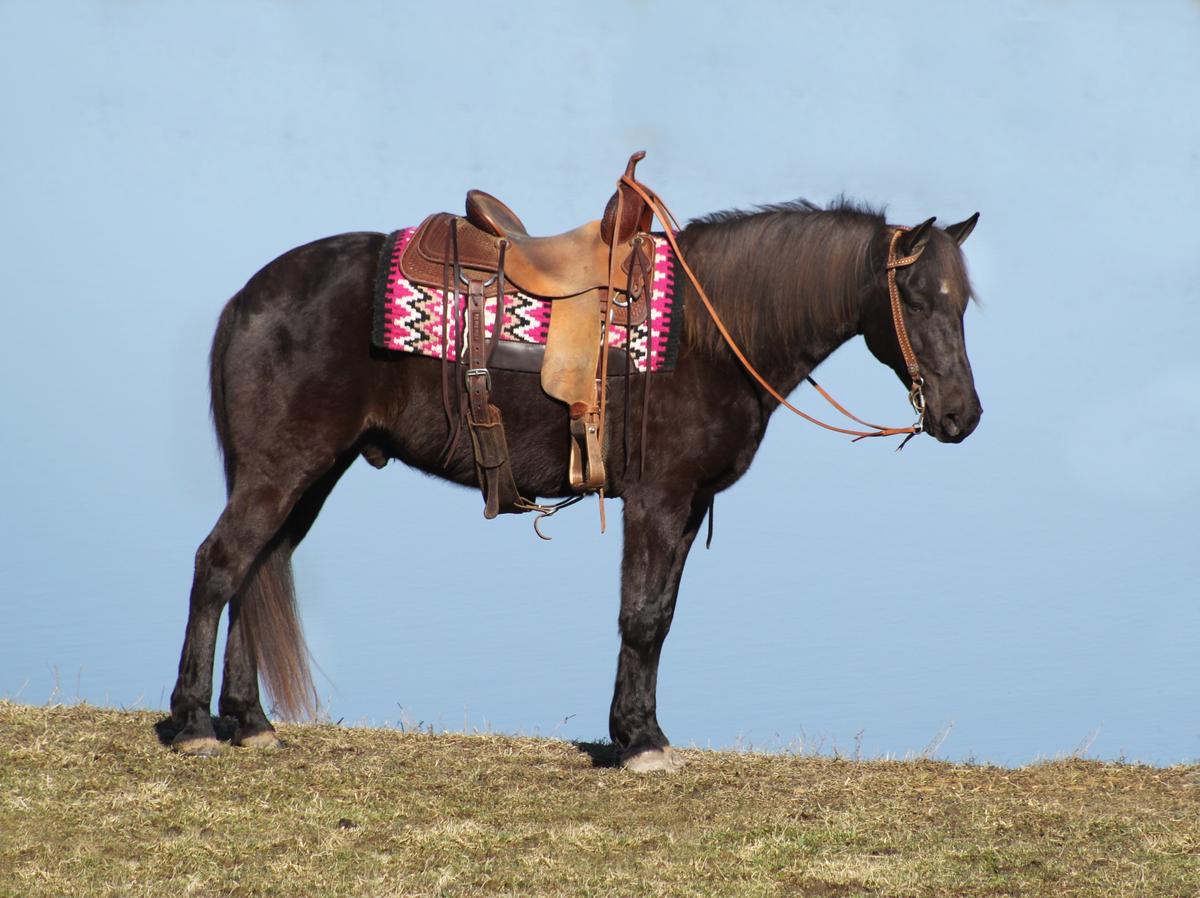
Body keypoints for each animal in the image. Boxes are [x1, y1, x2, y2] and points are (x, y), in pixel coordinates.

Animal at [166, 197, 982, 772]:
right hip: (282, 467)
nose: (960, 415)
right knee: (219, 564)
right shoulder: (659, 499)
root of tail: (249, 298)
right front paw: (639, 742)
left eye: (962, 302)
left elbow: (661, 616)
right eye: (917, 299)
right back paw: (196, 724)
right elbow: (641, 616)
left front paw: (640, 731)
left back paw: (250, 722)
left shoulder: (688, 506)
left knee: (258, 567)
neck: (709, 333)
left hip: (309, 475)